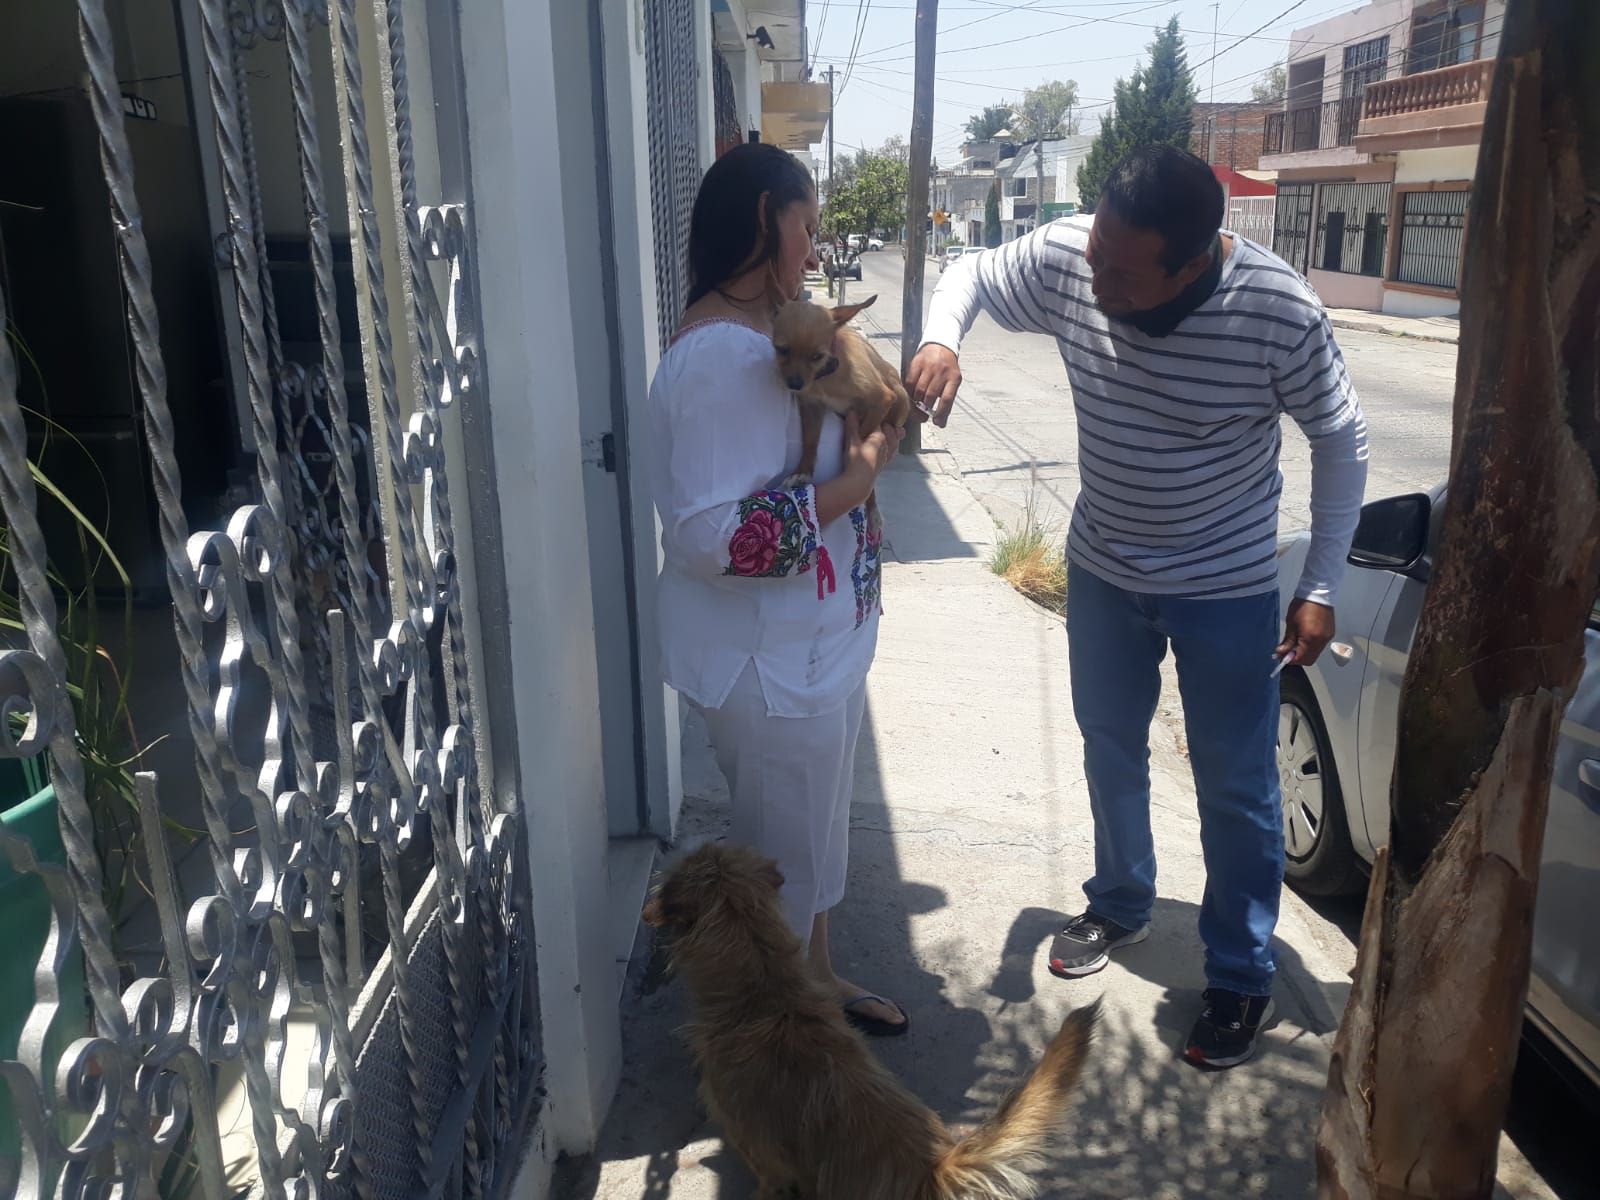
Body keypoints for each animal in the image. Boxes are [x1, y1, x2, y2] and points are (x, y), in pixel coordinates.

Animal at [772, 295, 917, 535]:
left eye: (817, 356)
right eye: (781, 350)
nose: (795, 384)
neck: (826, 375)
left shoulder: (881, 399)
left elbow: (856, 442)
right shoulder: (811, 406)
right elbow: (809, 441)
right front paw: (803, 471)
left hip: (898, 400)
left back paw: (873, 510)